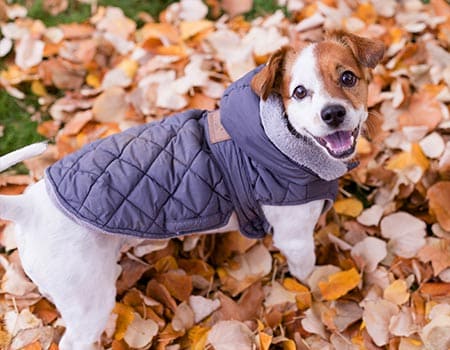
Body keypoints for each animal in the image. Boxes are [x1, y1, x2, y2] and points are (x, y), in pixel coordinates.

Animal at [0, 31, 384, 348]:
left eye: (347, 78)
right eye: (299, 92)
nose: (333, 113)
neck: (278, 140)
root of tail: (27, 206)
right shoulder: (295, 239)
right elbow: (307, 274)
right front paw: (316, 293)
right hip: (88, 302)